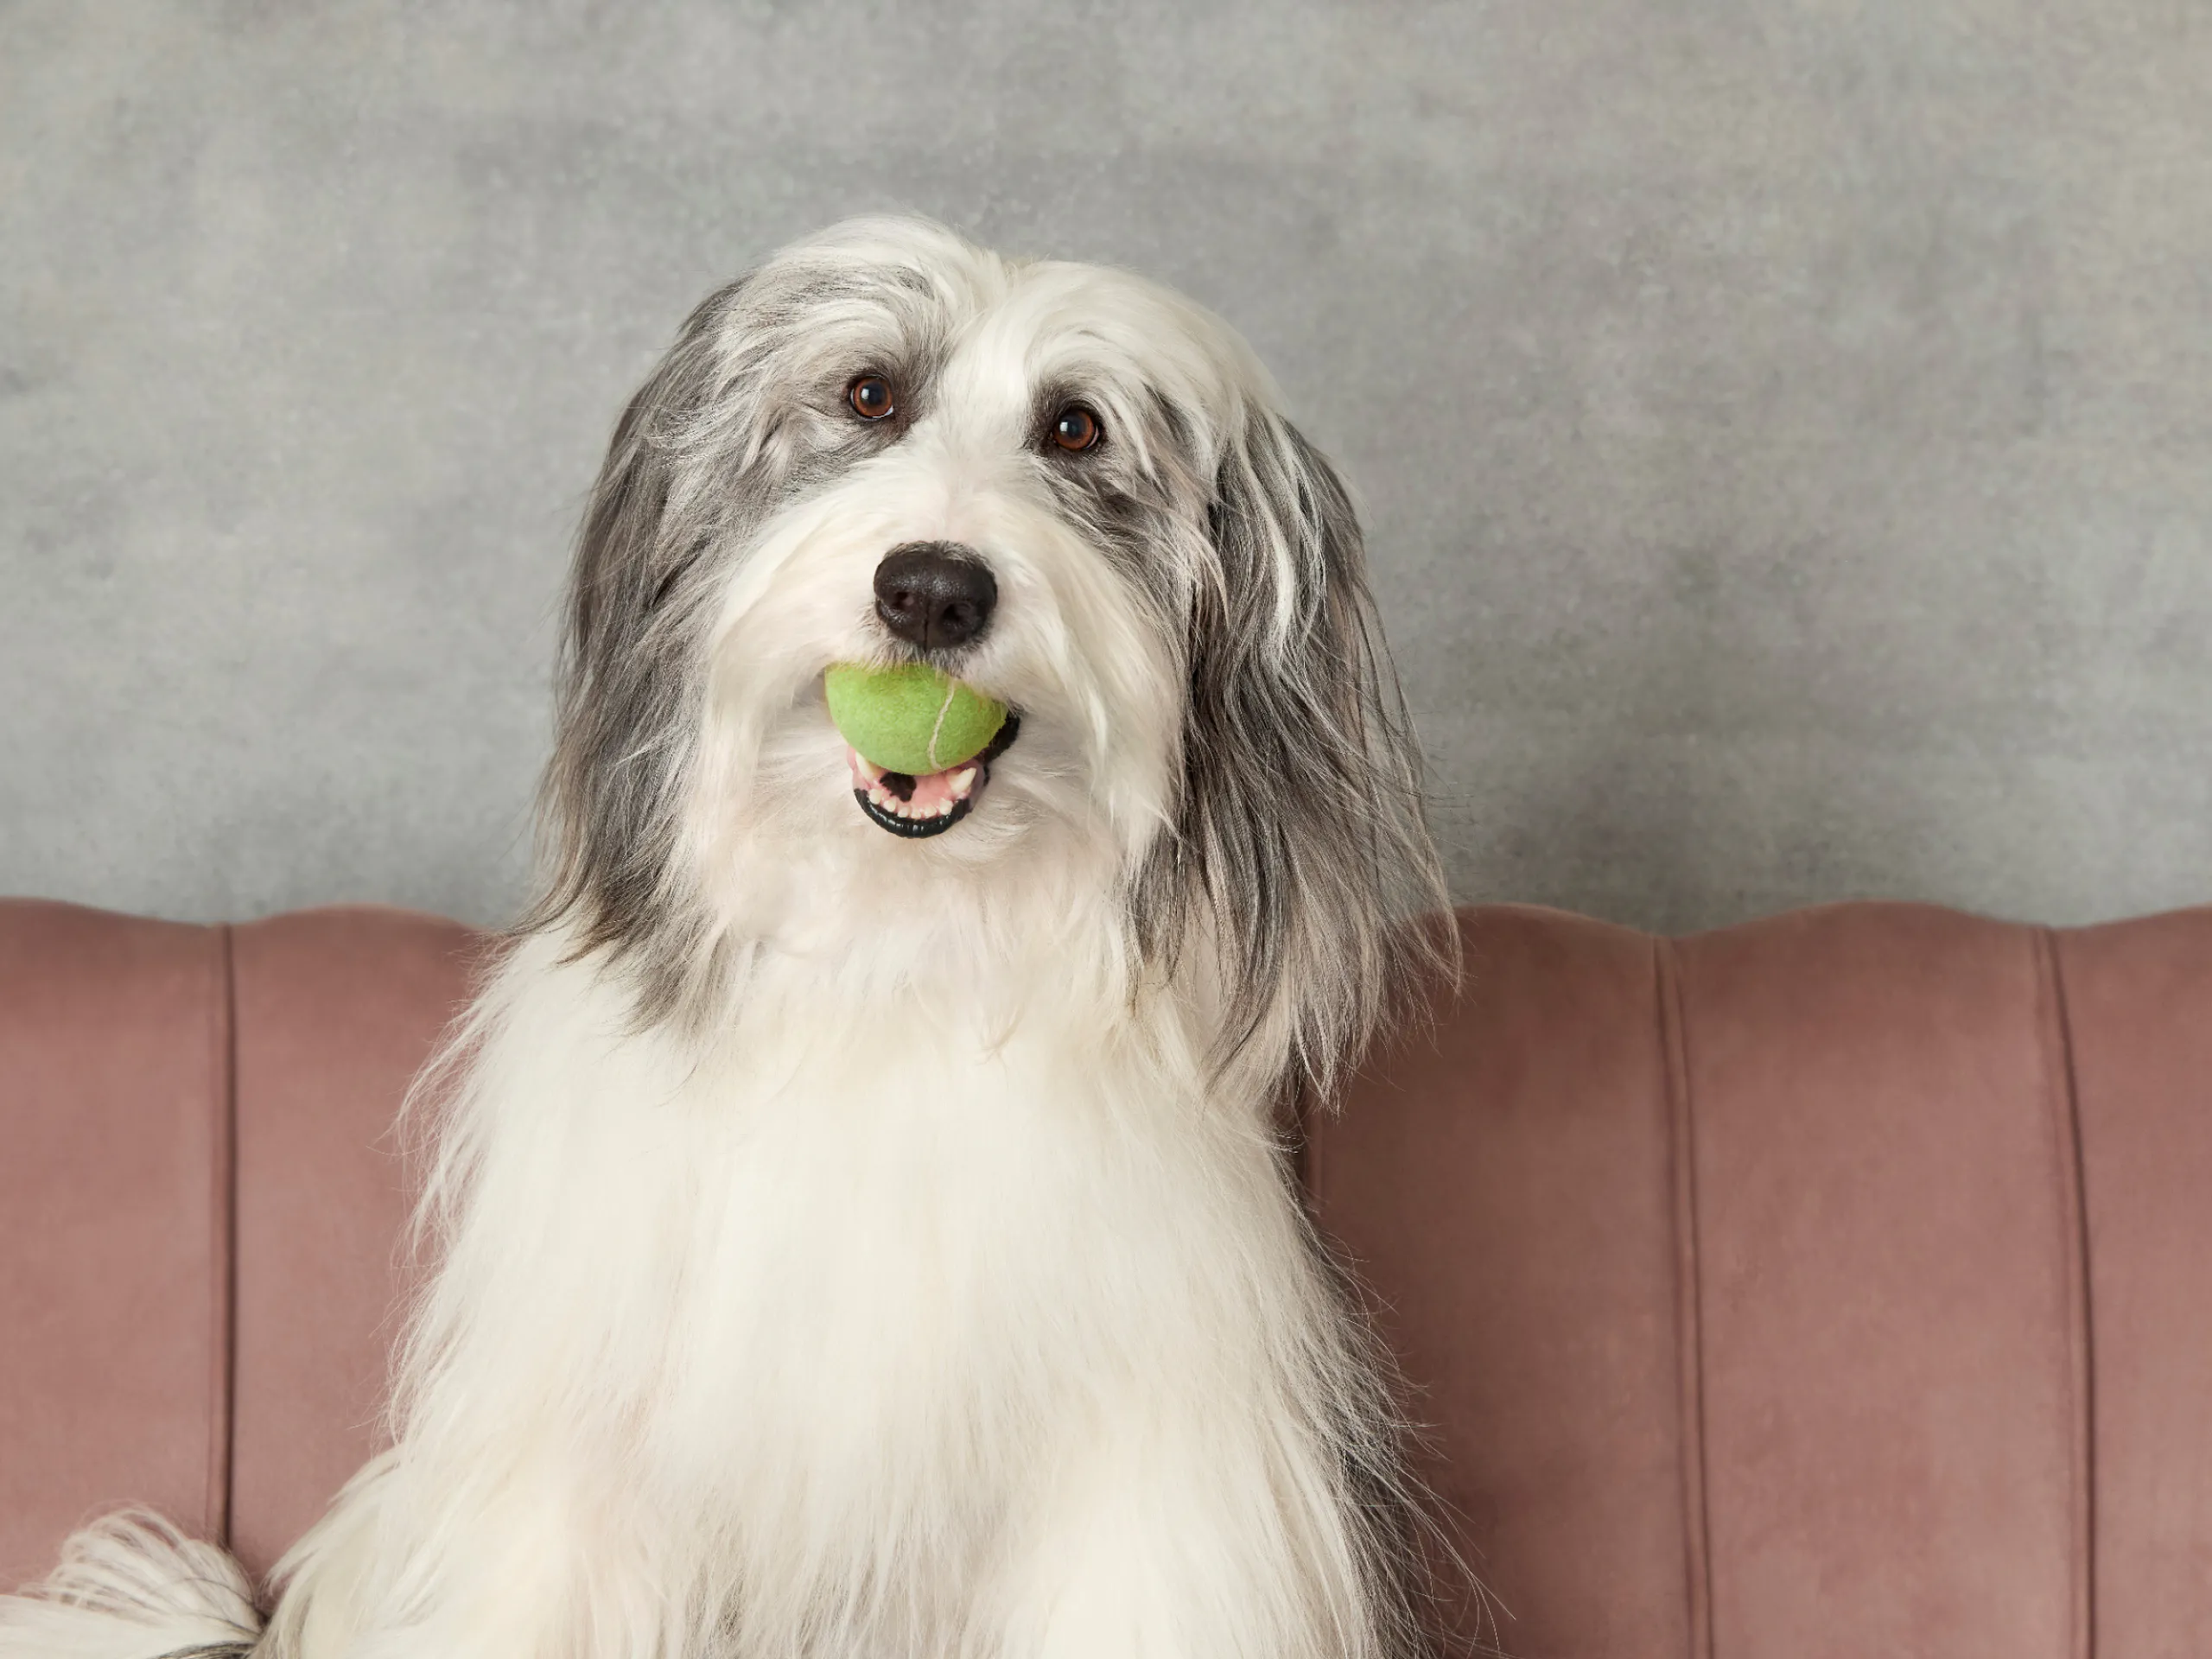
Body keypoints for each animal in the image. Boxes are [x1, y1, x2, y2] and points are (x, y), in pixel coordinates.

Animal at [0, 218, 1459, 1659]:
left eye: (1076, 429)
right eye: (869, 395)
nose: (933, 591)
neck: (893, 953)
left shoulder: (1149, 1482)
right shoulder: (578, 1464)